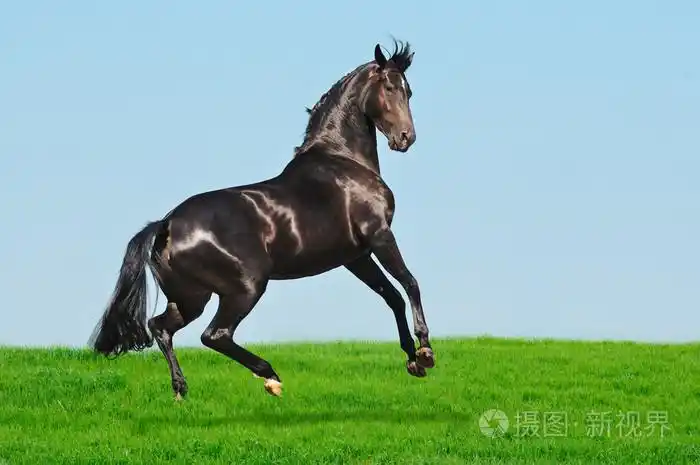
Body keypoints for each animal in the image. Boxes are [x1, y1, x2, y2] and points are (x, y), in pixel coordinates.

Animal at [88, 39, 434, 400]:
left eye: (409, 91)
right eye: (389, 87)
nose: (405, 138)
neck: (343, 161)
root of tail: (165, 225)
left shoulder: (355, 256)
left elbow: (392, 295)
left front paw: (413, 361)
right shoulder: (380, 235)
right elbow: (409, 282)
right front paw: (426, 351)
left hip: (190, 297)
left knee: (160, 327)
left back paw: (181, 390)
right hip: (245, 287)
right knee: (213, 334)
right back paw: (270, 377)